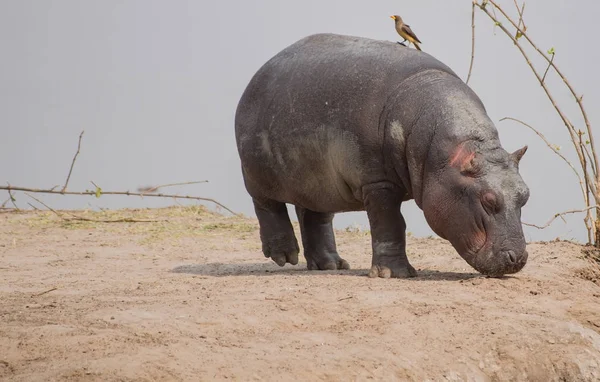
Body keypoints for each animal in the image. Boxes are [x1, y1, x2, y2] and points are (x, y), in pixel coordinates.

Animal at [234, 32, 528, 278]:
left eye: (525, 195)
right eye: (488, 200)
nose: (518, 259)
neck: (439, 152)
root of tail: (261, 72)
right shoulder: (378, 183)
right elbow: (390, 223)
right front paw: (394, 274)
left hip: (317, 180)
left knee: (315, 216)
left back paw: (332, 265)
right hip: (256, 172)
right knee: (267, 206)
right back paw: (284, 256)